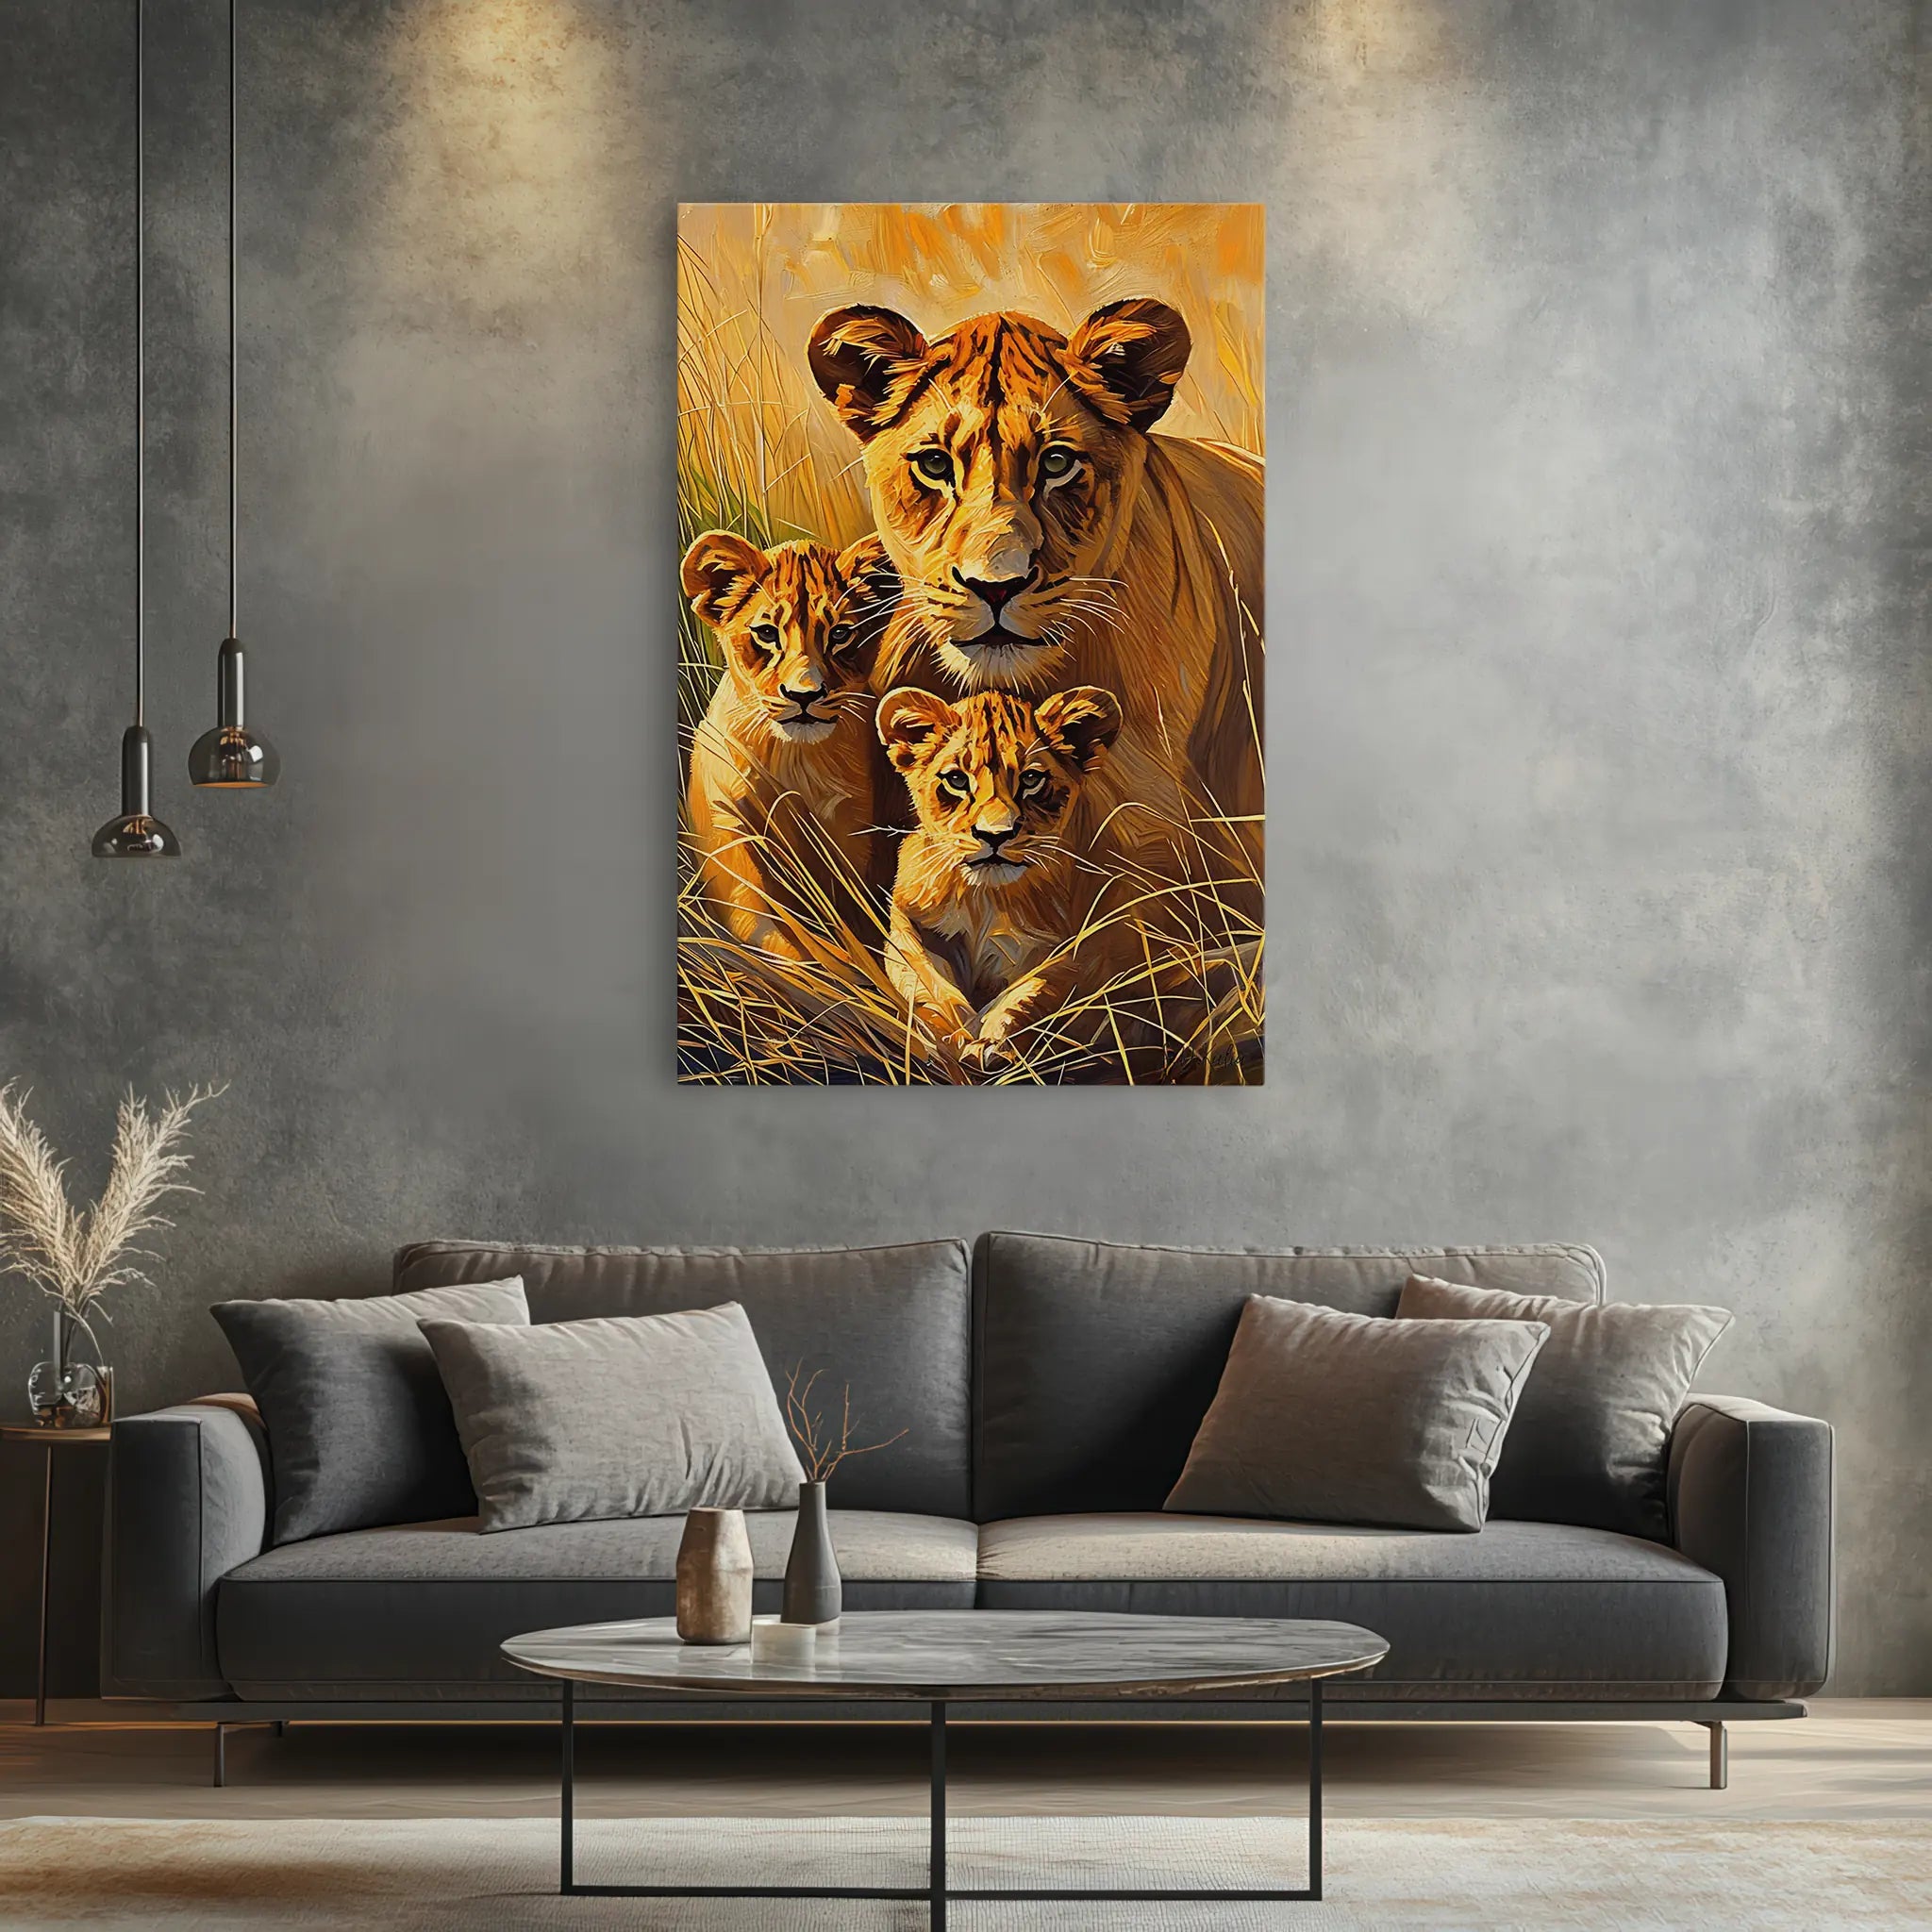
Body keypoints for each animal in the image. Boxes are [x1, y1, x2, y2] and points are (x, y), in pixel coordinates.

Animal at [682, 531, 899, 965]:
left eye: (840, 634)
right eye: (767, 633)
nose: (804, 695)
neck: (795, 763)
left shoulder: (855, 840)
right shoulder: (732, 838)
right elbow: (773, 938)